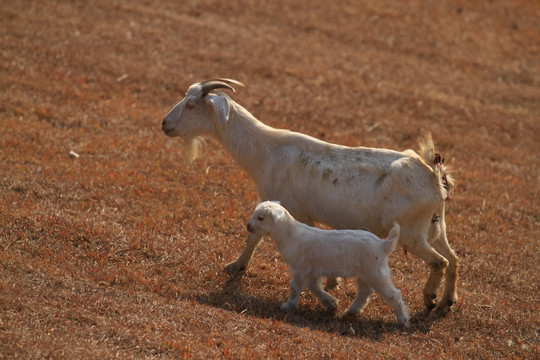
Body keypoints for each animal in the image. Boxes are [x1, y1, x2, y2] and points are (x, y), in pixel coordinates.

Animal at [162, 79, 458, 312]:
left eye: (191, 105)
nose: (165, 124)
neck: (266, 151)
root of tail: (434, 176)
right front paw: (331, 283)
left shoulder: (288, 208)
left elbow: (257, 238)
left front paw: (235, 266)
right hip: (435, 228)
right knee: (453, 259)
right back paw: (447, 302)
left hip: (411, 233)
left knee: (440, 262)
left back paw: (430, 299)